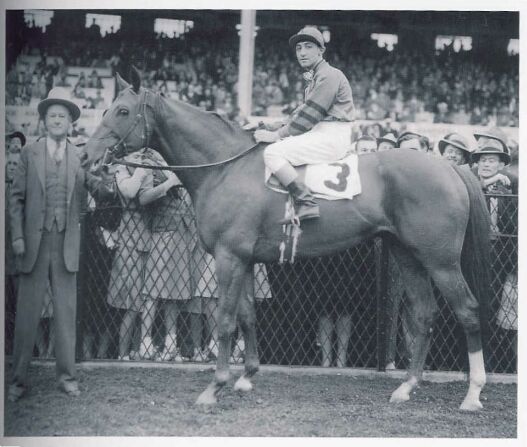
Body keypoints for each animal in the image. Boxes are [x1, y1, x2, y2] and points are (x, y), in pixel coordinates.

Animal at [80, 68, 492, 412]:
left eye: (121, 111)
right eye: (106, 108)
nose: (86, 156)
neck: (225, 167)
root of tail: (450, 167)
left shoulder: (229, 258)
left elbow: (226, 320)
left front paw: (215, 388)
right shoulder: (245, 260)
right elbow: (247, 315)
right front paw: (246, 377)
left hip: (440, 261)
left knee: (468, 311)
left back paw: (472, 394)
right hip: (408, 256)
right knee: (423, 314)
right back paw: (406, 387)